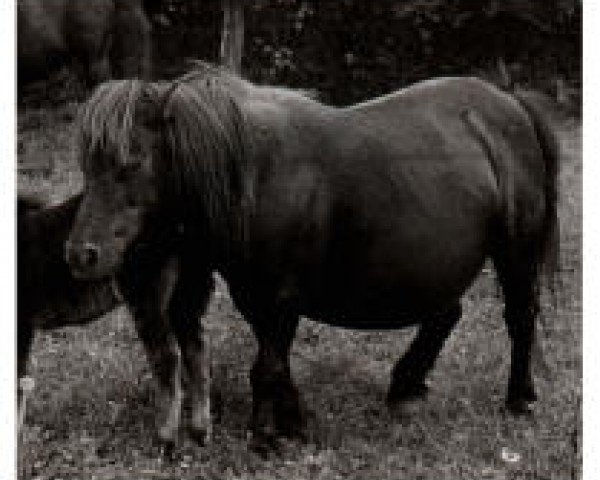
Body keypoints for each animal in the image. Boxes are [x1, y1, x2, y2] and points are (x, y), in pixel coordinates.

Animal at [17, 192, 213, 446]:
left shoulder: (21, 324)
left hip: (147, 296)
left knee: (167, 357)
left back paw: (165, 437)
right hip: (185, 294)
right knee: (195, 349)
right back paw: (200, 431)